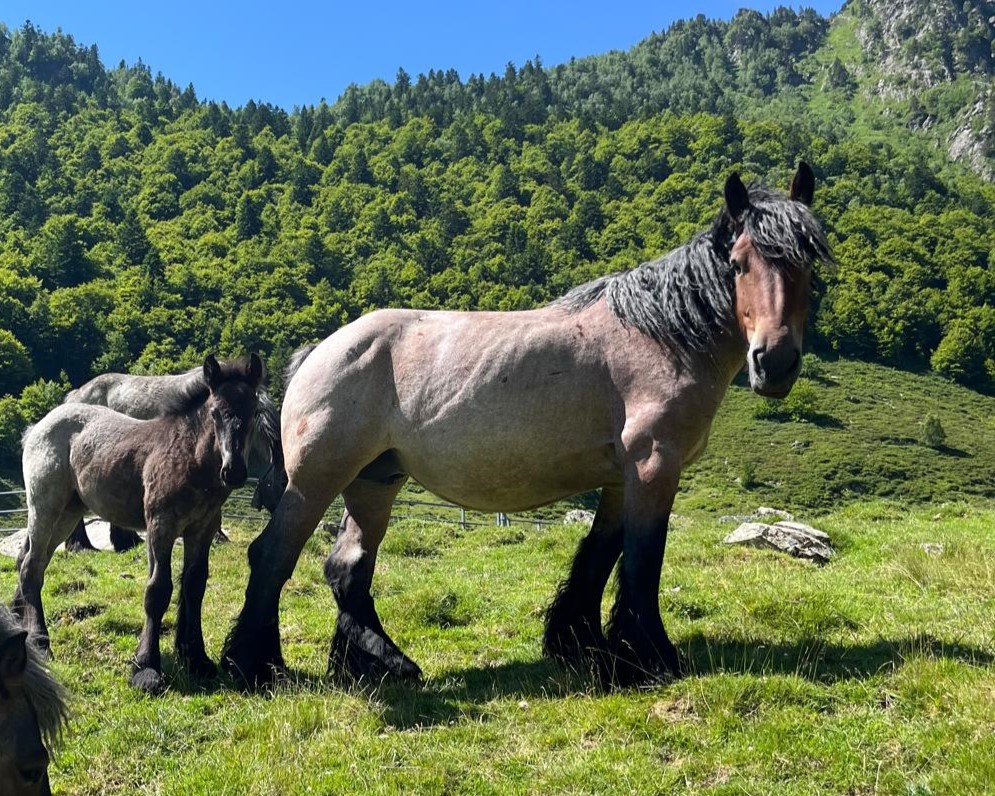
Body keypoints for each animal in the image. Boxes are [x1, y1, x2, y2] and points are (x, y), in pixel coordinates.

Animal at [220, 166, 832, 692]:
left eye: (809, 264)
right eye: (740, 263)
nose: (775, 363)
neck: (660, 335)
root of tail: (321, 351)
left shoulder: (620, 478)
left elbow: (597, 556)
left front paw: (580, 645)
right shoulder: (654, 466)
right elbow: (642, 561)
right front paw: (649, 657)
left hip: (374, 483)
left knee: (347, 569)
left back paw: (382, 663)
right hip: (317, 482)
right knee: (272, 556)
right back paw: (256, 666)